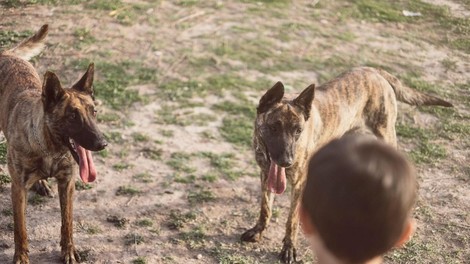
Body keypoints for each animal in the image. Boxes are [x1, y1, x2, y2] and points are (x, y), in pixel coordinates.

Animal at [0, 23, 107, 262]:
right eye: (72, 117)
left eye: (94, 112)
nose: (102, 143)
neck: (49, 148)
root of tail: (6, 53)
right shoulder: (18, 189)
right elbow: (21, 230)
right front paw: (21, 257)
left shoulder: (67, 184)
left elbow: (67, 224)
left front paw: (69, 252)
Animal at [241, 66, 454, 262]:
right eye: (274, 127)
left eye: (298, 131)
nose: (287, 161)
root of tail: (374, 70)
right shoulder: (265, 174)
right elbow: (265, 208)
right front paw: (258, 231)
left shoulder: (299, 183)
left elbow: (291, 220)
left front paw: (289, 248)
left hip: (385, 132)